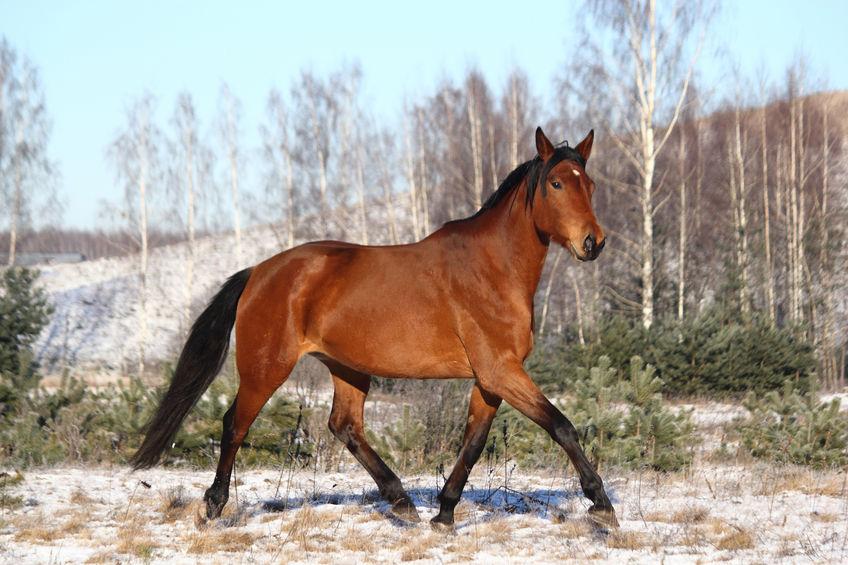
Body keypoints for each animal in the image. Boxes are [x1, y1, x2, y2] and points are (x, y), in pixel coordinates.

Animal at [132, 126, 620, 528]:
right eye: (556, 183)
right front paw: (601, 507)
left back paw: (401, 501)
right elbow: (561, 425)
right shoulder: (501, 371)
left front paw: (444, 513)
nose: (593, 243)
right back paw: (214, 506)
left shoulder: (491, 379)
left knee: (345, 425)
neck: (492, 269)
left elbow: (474, 443)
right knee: (235, 424)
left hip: (347, 367)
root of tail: (258, 273)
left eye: (590, 184)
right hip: (266, 368)